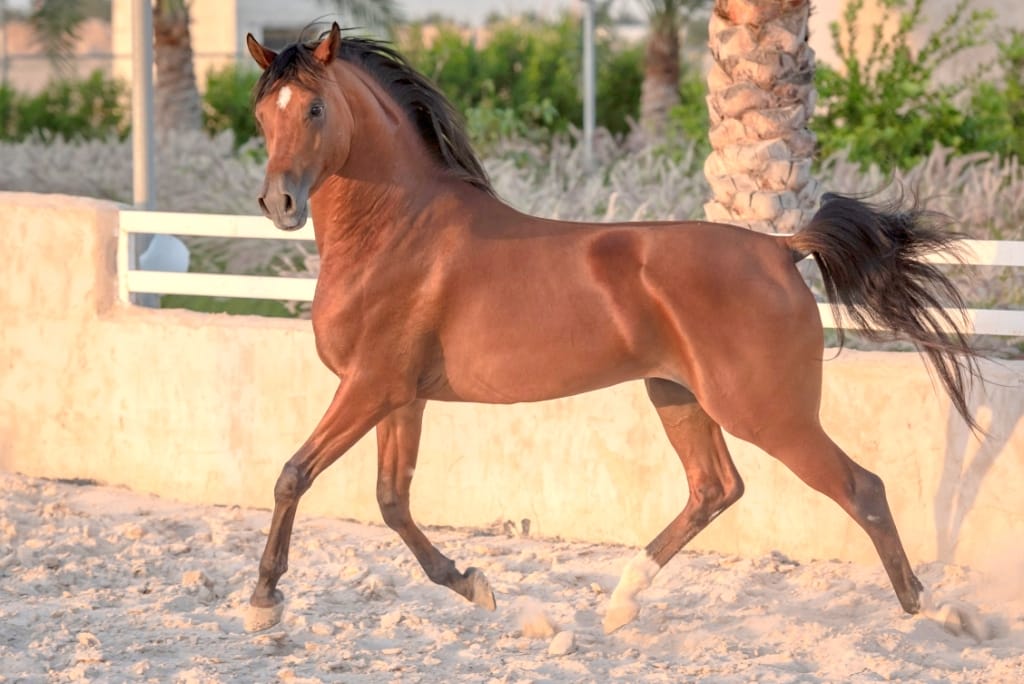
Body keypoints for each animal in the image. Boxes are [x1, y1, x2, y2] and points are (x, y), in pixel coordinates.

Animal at [241, 24, 983, 634]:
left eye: (314, 108)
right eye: (261, 114)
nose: (279, 202)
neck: (398, 232)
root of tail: (781, 249)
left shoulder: (370, 386)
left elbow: (292, 475)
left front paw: (263, 604)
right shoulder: (400, 395)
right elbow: (392, 500)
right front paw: (473, 584)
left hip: (767, 413)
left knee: (861, 489)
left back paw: (930, 613)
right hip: (678, 395)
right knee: (715, 487)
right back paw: (621, 601)